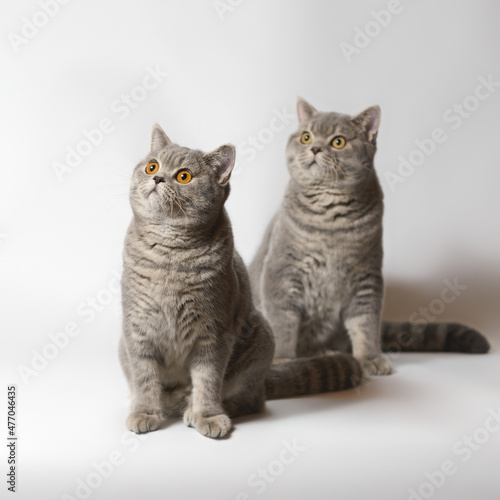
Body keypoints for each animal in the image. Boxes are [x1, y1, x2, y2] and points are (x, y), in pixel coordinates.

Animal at [119, 124, 366, 438]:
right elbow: (144, 377)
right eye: (152, 166)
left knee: (250, 400)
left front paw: (208, 416)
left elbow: (208, 379)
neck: (169, 257)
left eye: (184, 176)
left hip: (261, 334)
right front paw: (145, 412)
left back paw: (193, 407)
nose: (157, 177)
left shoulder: (213, 332)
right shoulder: (137, 328)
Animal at [248, 97, 490, 376]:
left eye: (338, 141)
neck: (330, 223)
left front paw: (369, 358)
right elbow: (283, 324)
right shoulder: (281, 272)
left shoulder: (366, 276)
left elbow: (366, 324)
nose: (316, 148)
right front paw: (283, 361)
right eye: (306, 137)